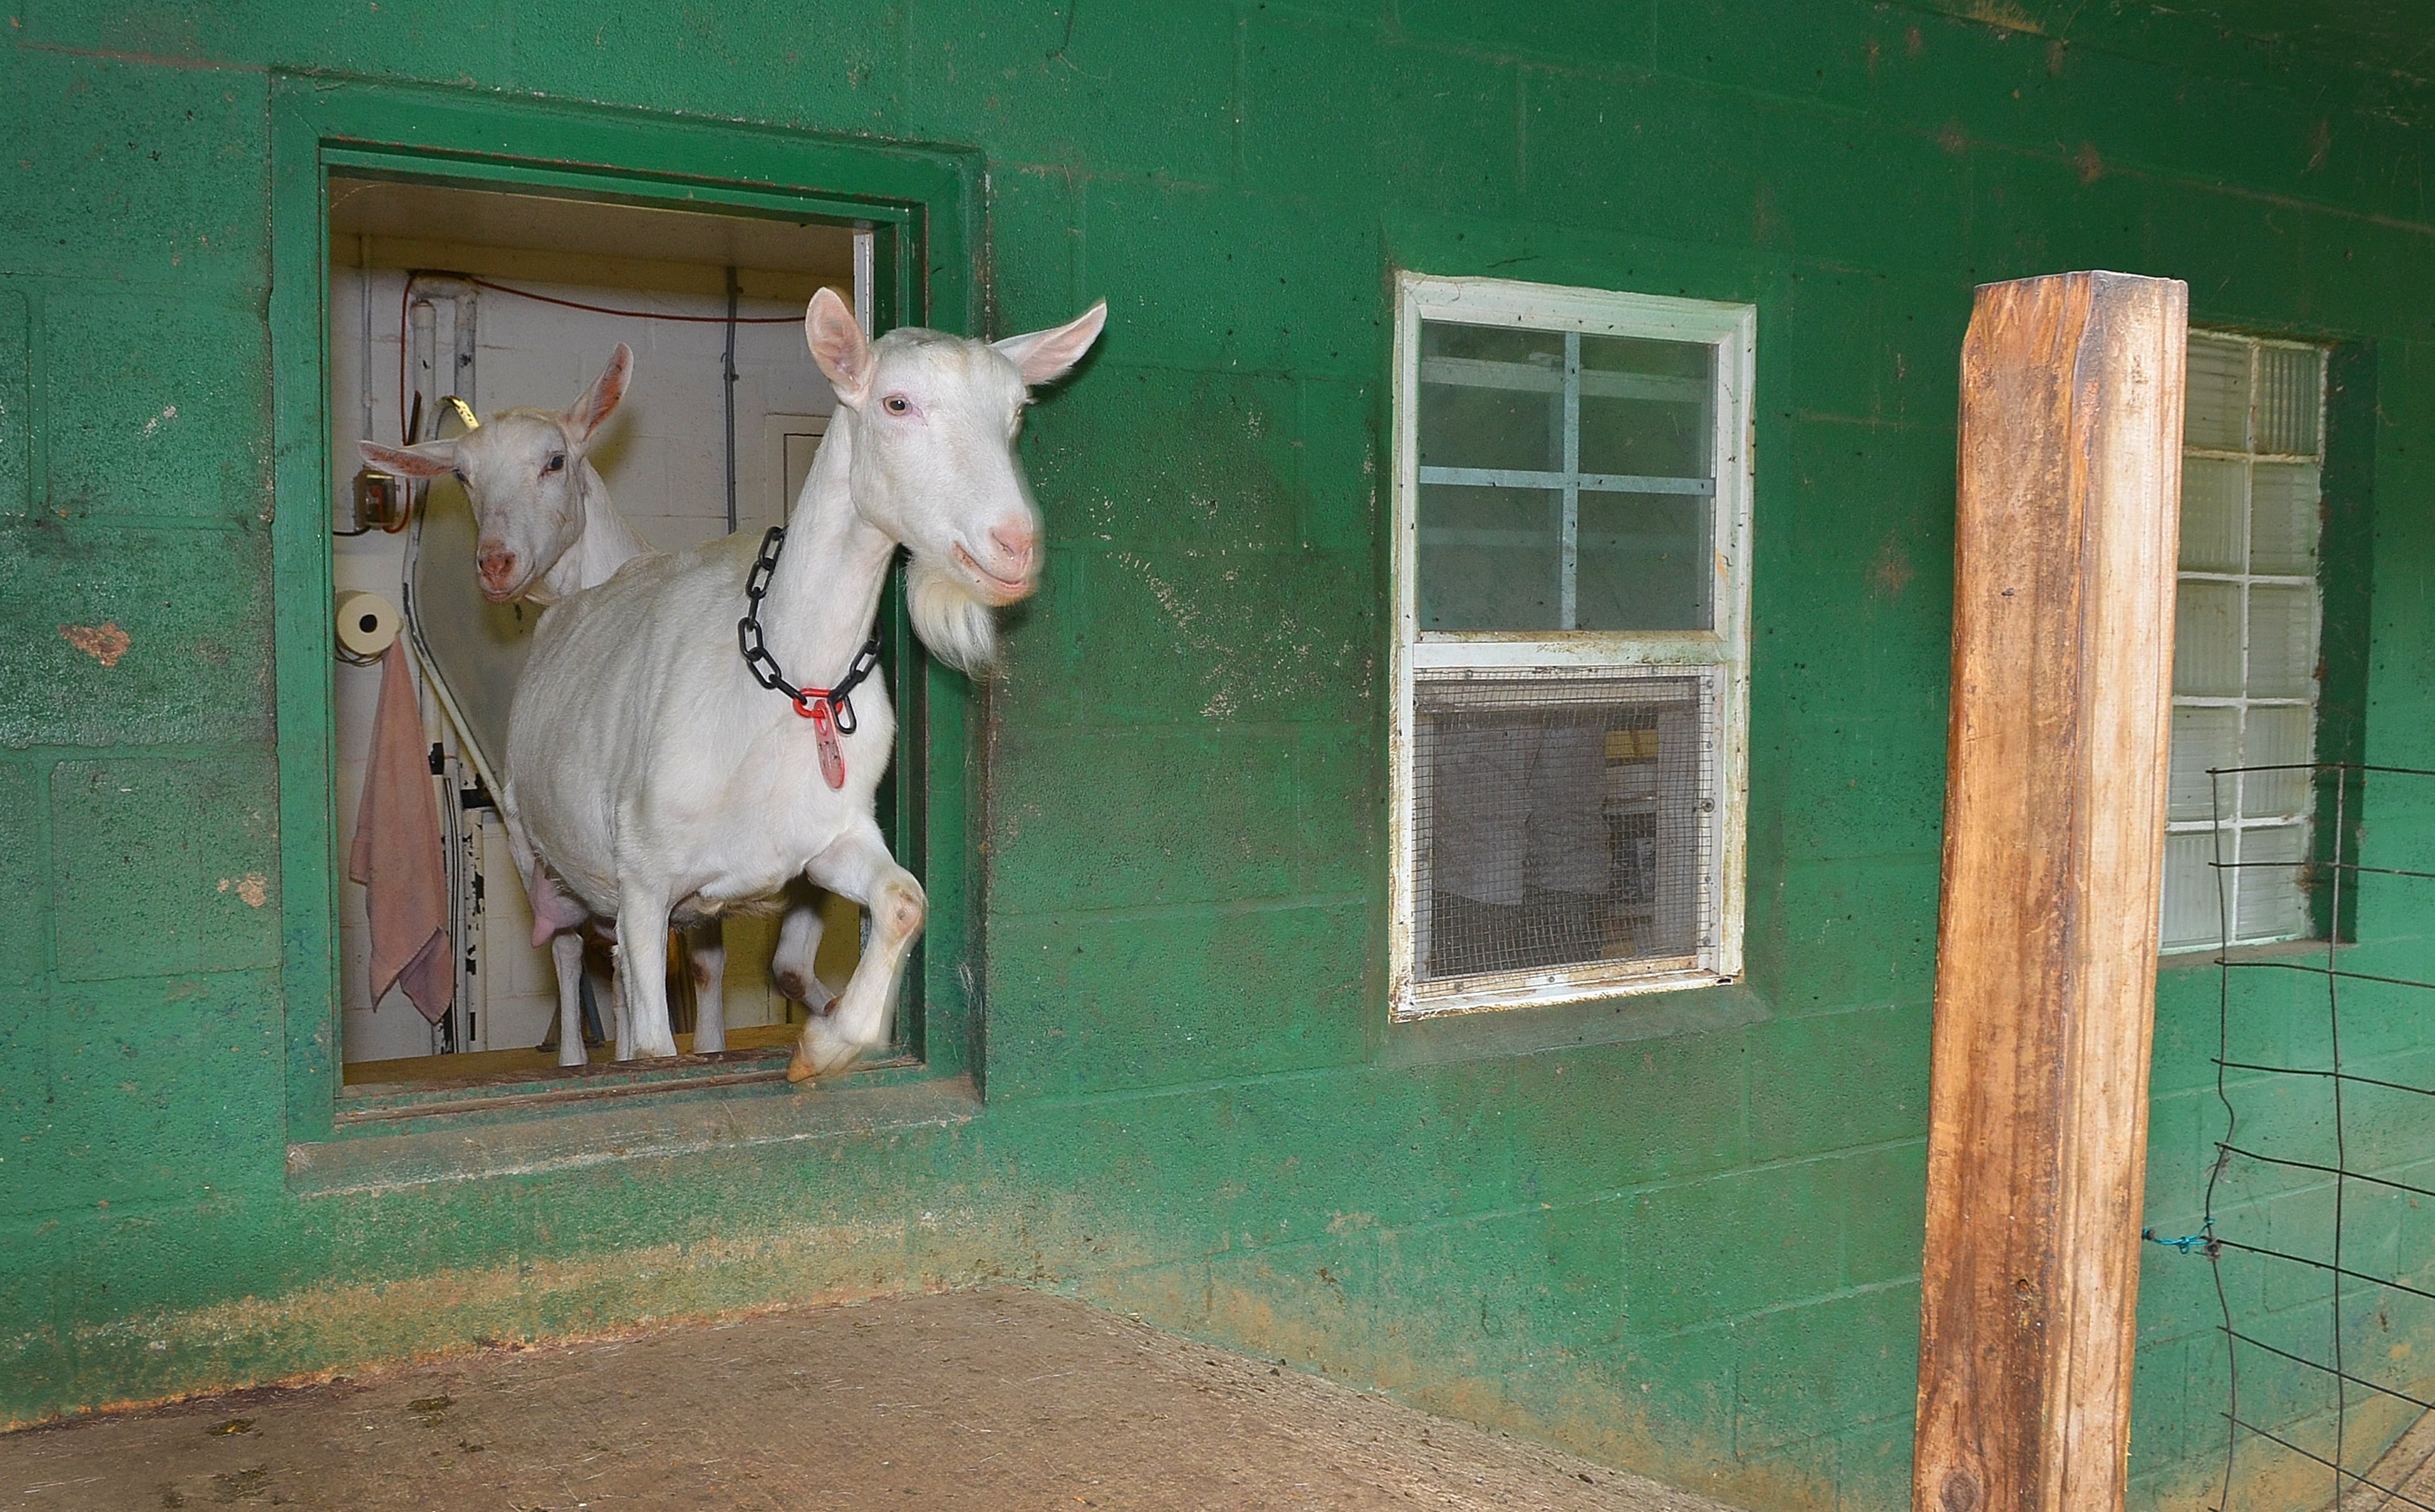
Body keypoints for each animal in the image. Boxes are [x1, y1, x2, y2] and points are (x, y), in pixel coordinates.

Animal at [359, 347, 832, 1064]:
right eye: (463, 476)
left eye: (555, 461)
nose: (495, 564)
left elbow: (719, 966)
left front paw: (726, 1043)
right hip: (532, 842)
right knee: (568, 953)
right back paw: (578, 1059)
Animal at [505, 288, 1105, 1079]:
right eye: (897, 403)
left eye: (1015, 414)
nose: (1014, 546)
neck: (790, 688)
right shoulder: (642, 882)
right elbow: (658, 1044)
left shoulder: (828, 838)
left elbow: (904, 900)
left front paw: (829, 1043)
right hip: (535, 846)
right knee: (574, 954)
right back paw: (576, 1058)